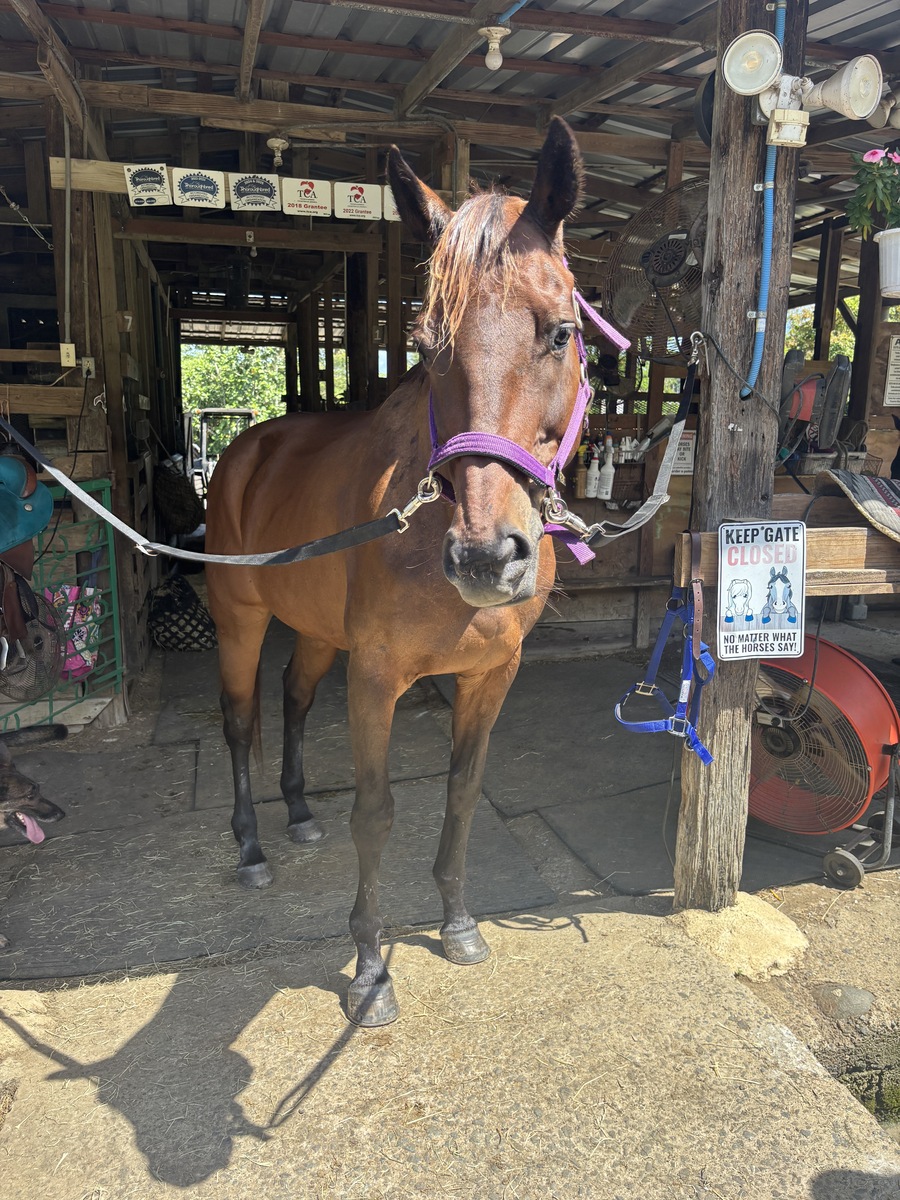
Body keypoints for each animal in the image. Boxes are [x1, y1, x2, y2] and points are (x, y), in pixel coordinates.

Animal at [204, 117, 590, 1027]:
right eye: (425, 344)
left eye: (560, 331)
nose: (487, 558)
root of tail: (247, 446)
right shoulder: (376, 677)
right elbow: (375, 814)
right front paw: (371, 971)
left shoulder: (491, 675)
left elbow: (462, 790)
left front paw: (458, 924)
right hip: (241, 623)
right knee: (241, 720)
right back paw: (251, 846)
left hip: (314, 635)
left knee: (293, 700)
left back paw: (297, 811)